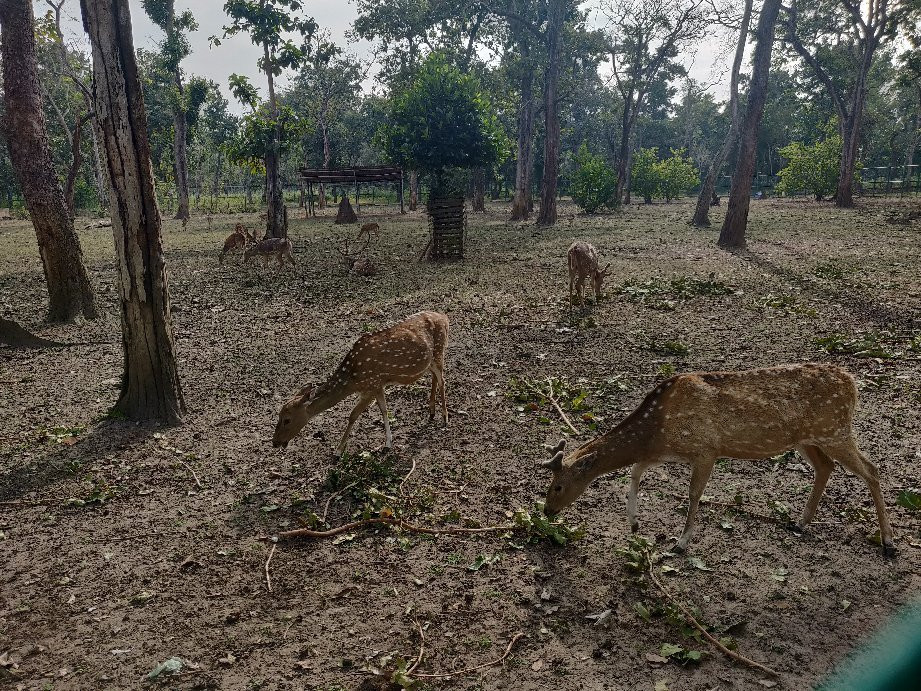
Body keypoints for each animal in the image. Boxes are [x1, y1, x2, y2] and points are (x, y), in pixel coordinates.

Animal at [270, 312, 450, 454]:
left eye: (287, 419)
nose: (275, 442)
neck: (353, 379)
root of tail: (444, 317)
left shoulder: (372, 384)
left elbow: (353, 415)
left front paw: (338, 451)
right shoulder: (377, 386)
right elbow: (383, 410)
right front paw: (388, 443)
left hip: (439, 352)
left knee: (442, 380)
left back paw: (445, 417)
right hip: (429, 362)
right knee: (435, 377)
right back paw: (431, 411)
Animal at [544, 364, 896, 560]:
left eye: (558, 486)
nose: (547, 512)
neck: (658, 427)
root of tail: (853, 384)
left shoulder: (705, 449)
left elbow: (693, 494)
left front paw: (680, 543)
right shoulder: (665, 452)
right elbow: (634, 473)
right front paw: (633, 524)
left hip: (835, 430)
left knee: (872, 469)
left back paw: (888, 542)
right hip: (808, 439)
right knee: (827, 467)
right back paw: (799, 523)